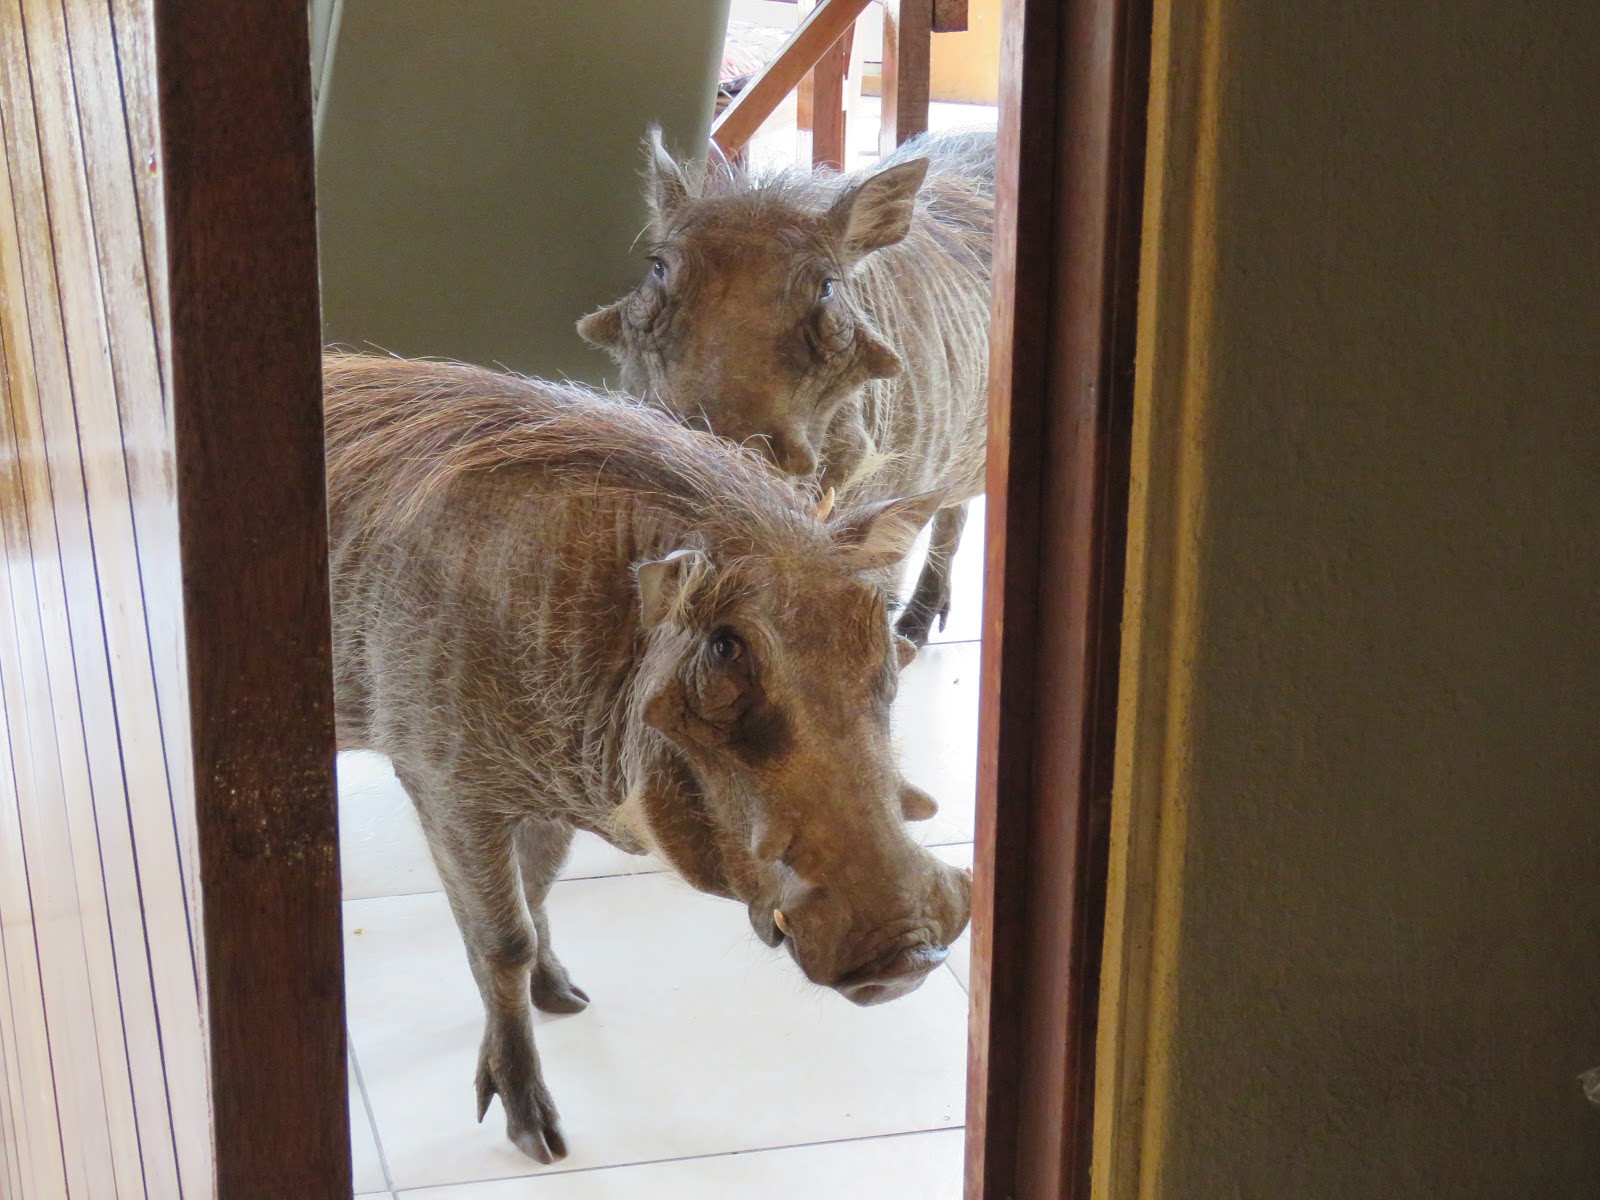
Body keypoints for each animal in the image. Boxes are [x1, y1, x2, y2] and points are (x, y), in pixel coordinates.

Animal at [323, 353, 972, 1163]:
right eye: (724, 647)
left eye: (880, 627)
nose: (908, 955)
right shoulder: (448, 787)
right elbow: (501, 941)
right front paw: (533, 1127)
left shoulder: (548, 785)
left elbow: (536, 895)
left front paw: (560, 997)